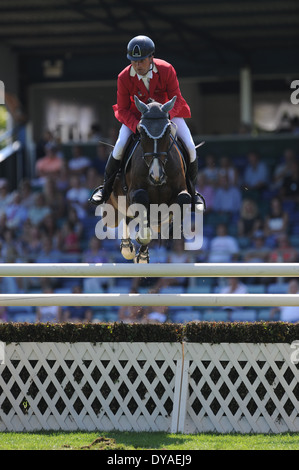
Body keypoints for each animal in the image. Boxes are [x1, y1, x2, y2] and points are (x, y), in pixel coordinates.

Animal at [102, 94, 193, 264]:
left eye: (167, 131)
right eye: (141, 132)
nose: (156, 175)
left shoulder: (180, 191)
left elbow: (184, 199)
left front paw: (171, 230)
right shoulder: (133, 193)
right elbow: (141, 198)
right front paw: (141, 238)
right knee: (126, 217)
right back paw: (128, 249)